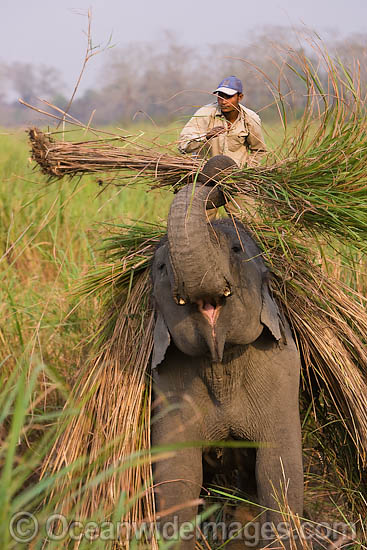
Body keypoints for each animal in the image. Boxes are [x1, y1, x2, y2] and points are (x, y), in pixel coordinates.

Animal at [151, 156, 304, 550]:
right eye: (161, 267)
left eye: (236, 250)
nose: (218, 179)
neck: (221, 362)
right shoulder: (167, 388)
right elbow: (177, 476)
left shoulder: (283, 372)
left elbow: (278, 472)